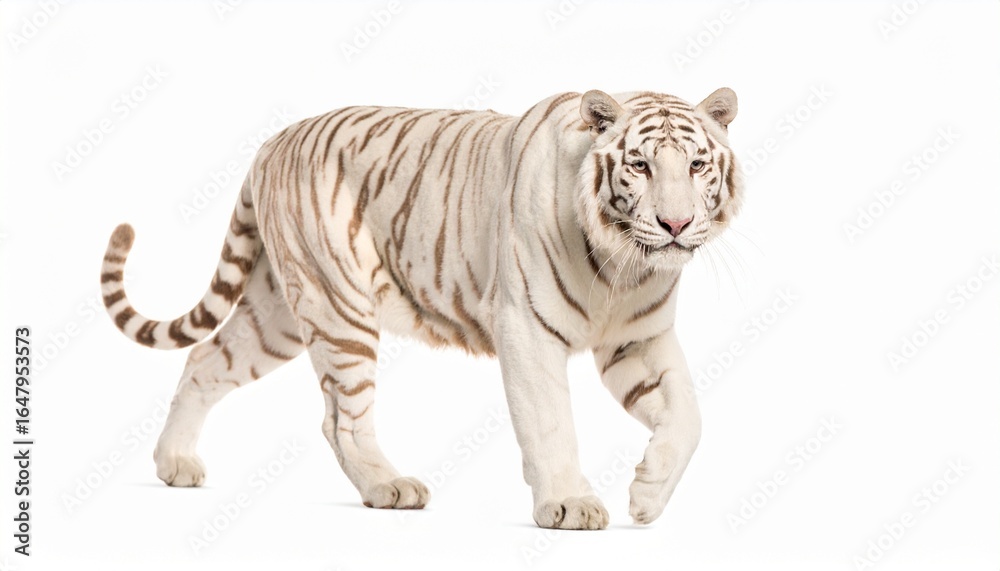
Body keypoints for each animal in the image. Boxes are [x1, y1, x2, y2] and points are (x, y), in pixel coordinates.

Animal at [100, 87, 743, 530]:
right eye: (640, 166)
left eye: (696, 166)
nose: (676, 224)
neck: (623, 267)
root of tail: (273, 141)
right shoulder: (527, 330)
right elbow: (551, 424)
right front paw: (568, 504)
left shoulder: (638, 339)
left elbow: (689, 418)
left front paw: (647, 495)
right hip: (338, 308)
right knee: (340, 419)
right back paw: (389, 488)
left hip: (275, 312)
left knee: (205, 360)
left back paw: (175, 464)